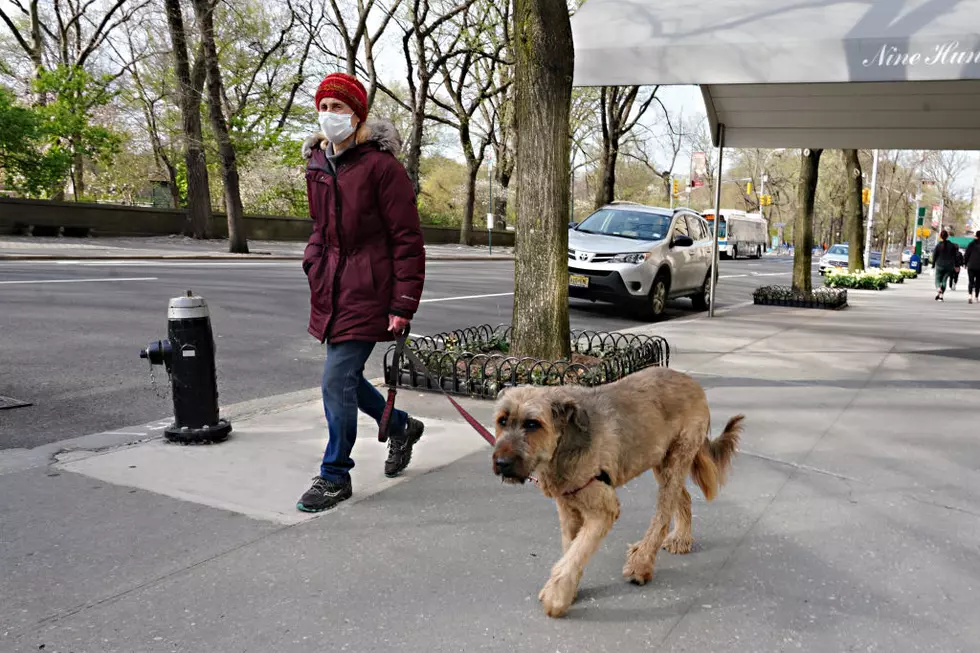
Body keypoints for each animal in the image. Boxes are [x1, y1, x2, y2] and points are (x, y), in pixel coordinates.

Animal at [494, 366, 740, 616]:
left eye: (533, 424)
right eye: (502, 421)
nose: (501, 463)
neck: (565, 445)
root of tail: (691, 381)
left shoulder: (604, 509)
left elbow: (576, 553)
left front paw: (557, 596)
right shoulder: (568, 508)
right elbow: (570, 548)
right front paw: (569, 589)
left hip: (677, 456)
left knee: (662, 514)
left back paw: (641, 563)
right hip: (659, 460)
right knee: (682, 498)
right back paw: (679, 539)